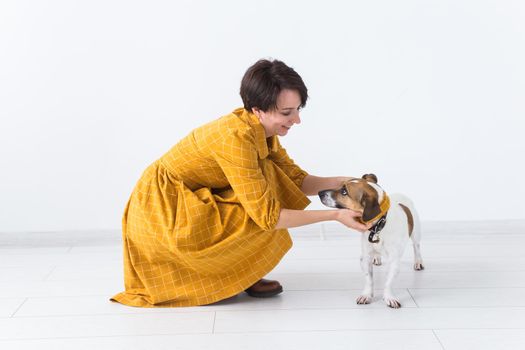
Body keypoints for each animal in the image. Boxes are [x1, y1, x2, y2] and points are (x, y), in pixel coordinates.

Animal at [318, 174, 424, 308]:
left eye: (344, 192)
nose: (320, 193)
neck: (379, 226)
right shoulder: (365, 257)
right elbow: (369, 279)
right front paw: (366, 295)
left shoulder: (394, 261)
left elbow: (388, 282)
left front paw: (389, 297)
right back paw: (377, 259)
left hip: (416, 233)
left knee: (416, 247)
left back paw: (418, 262)